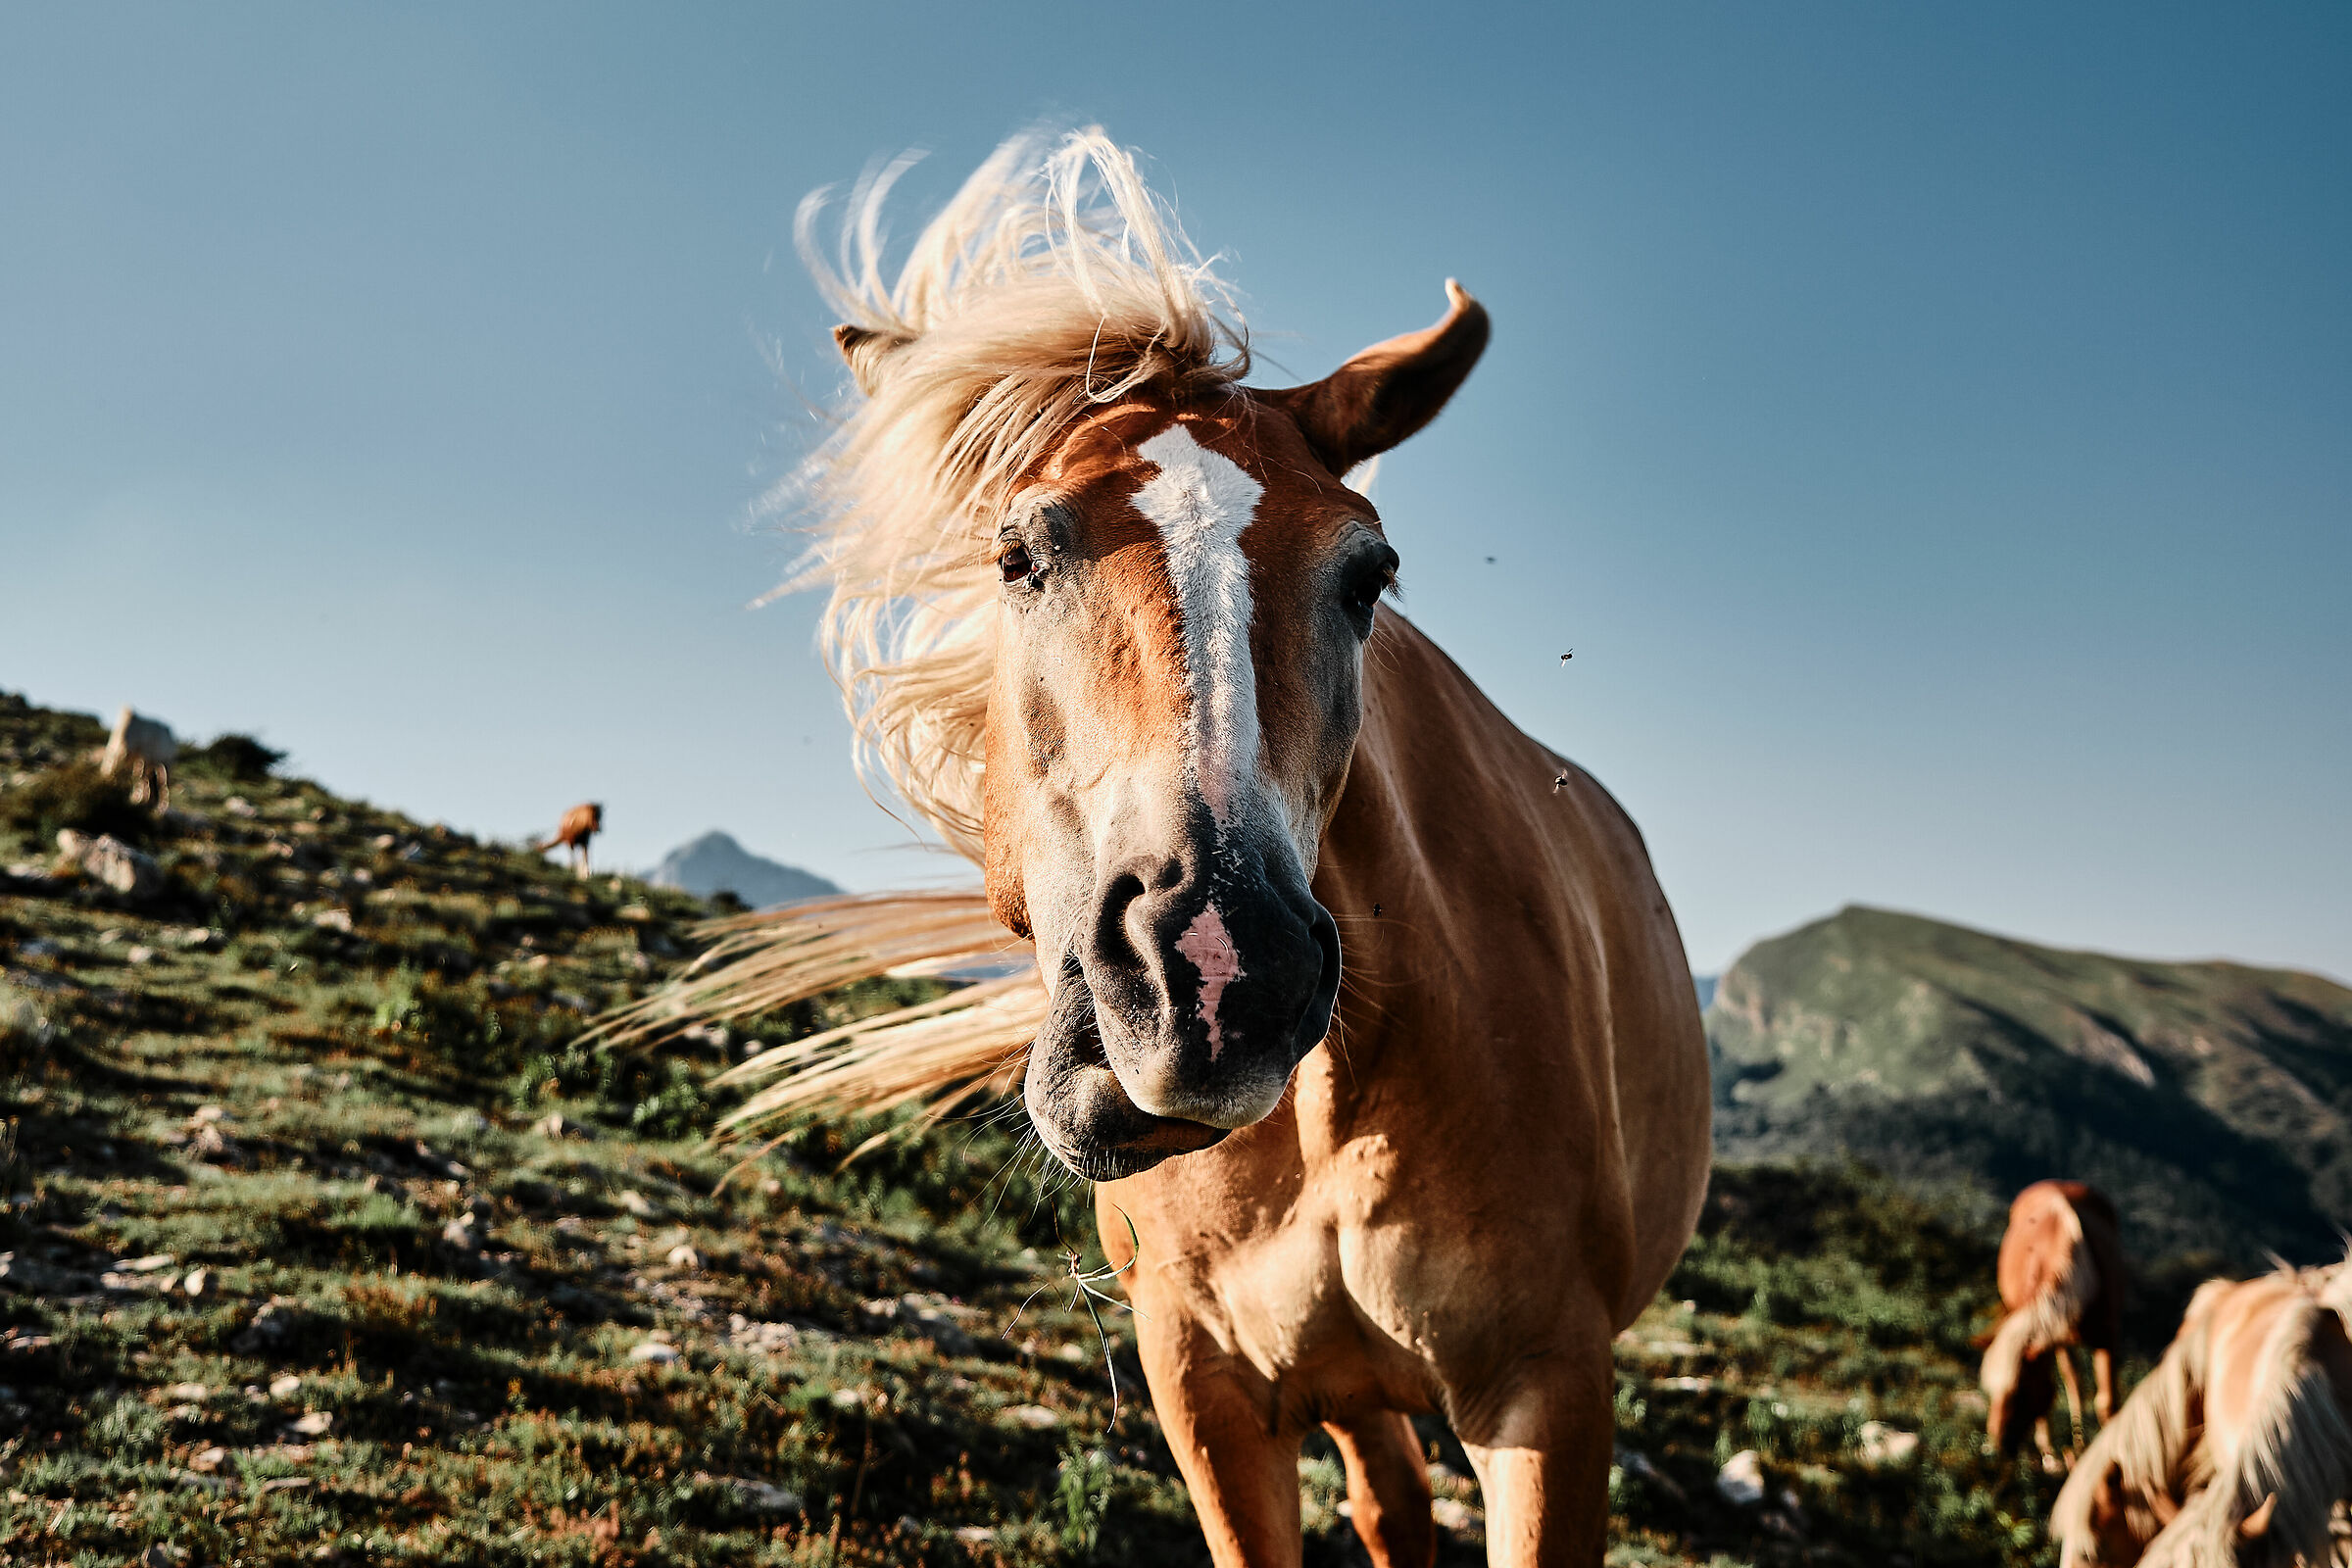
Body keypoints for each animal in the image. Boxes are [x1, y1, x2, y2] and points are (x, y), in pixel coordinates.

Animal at [606, 129, 1712, 1566]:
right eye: (1017, 555)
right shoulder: (1205, 1387)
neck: (1336, 1104)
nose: (1214, 975)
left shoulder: (1547, 1396)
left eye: (1368, 574)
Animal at [1983, 1179, 2128, 1471]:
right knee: (2071, 1381)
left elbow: (2107, 1402)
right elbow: (2061, 1387)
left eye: (2019, 1393)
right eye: (1991, 1392)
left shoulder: (2107, 1337)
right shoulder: (2054, 1337)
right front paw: (2055, 1455)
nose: (1995, 1450)